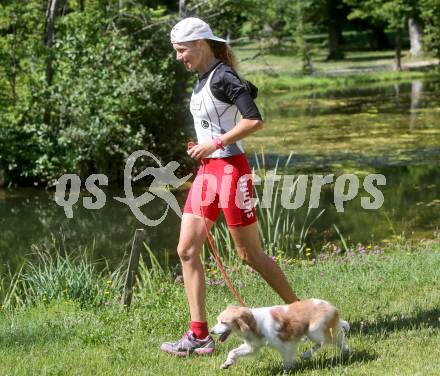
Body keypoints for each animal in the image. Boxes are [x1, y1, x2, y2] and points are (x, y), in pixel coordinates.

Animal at [210, 300, 350, 370]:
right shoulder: (252, 347)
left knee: (325, 341)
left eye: (223, 322)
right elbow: (233, 352)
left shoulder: (285, 344)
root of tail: (332, 306)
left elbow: (287, 360)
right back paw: (346, 353)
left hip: (313, 330)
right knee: (339, 339)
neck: (254, 322)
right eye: (218, 320)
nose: (211, 331)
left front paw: (288, 370)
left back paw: (307, 354)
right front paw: (227, 364)